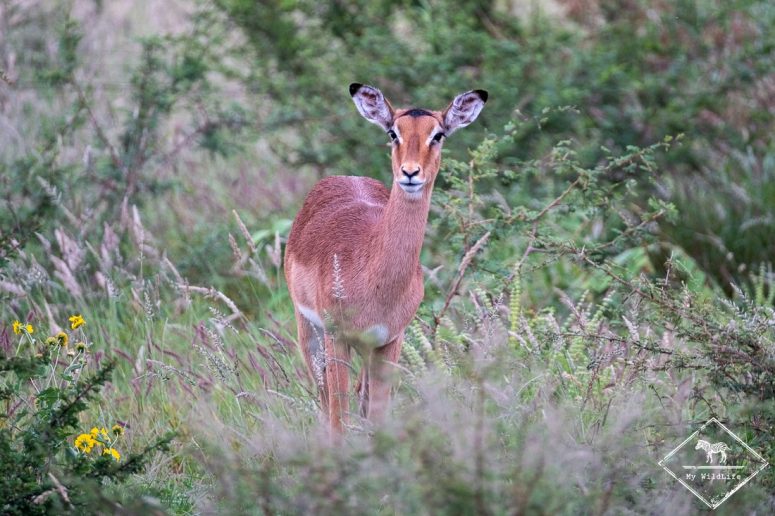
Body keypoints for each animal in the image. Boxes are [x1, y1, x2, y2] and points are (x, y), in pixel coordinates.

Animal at [284, 83, 487, 434]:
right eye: (393, 132)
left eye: (438, 135)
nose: (410, 173)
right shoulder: (337, 338)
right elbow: (338, 421)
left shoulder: (389, 341)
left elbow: (377, 418)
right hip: (309, 330)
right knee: (324, 400)